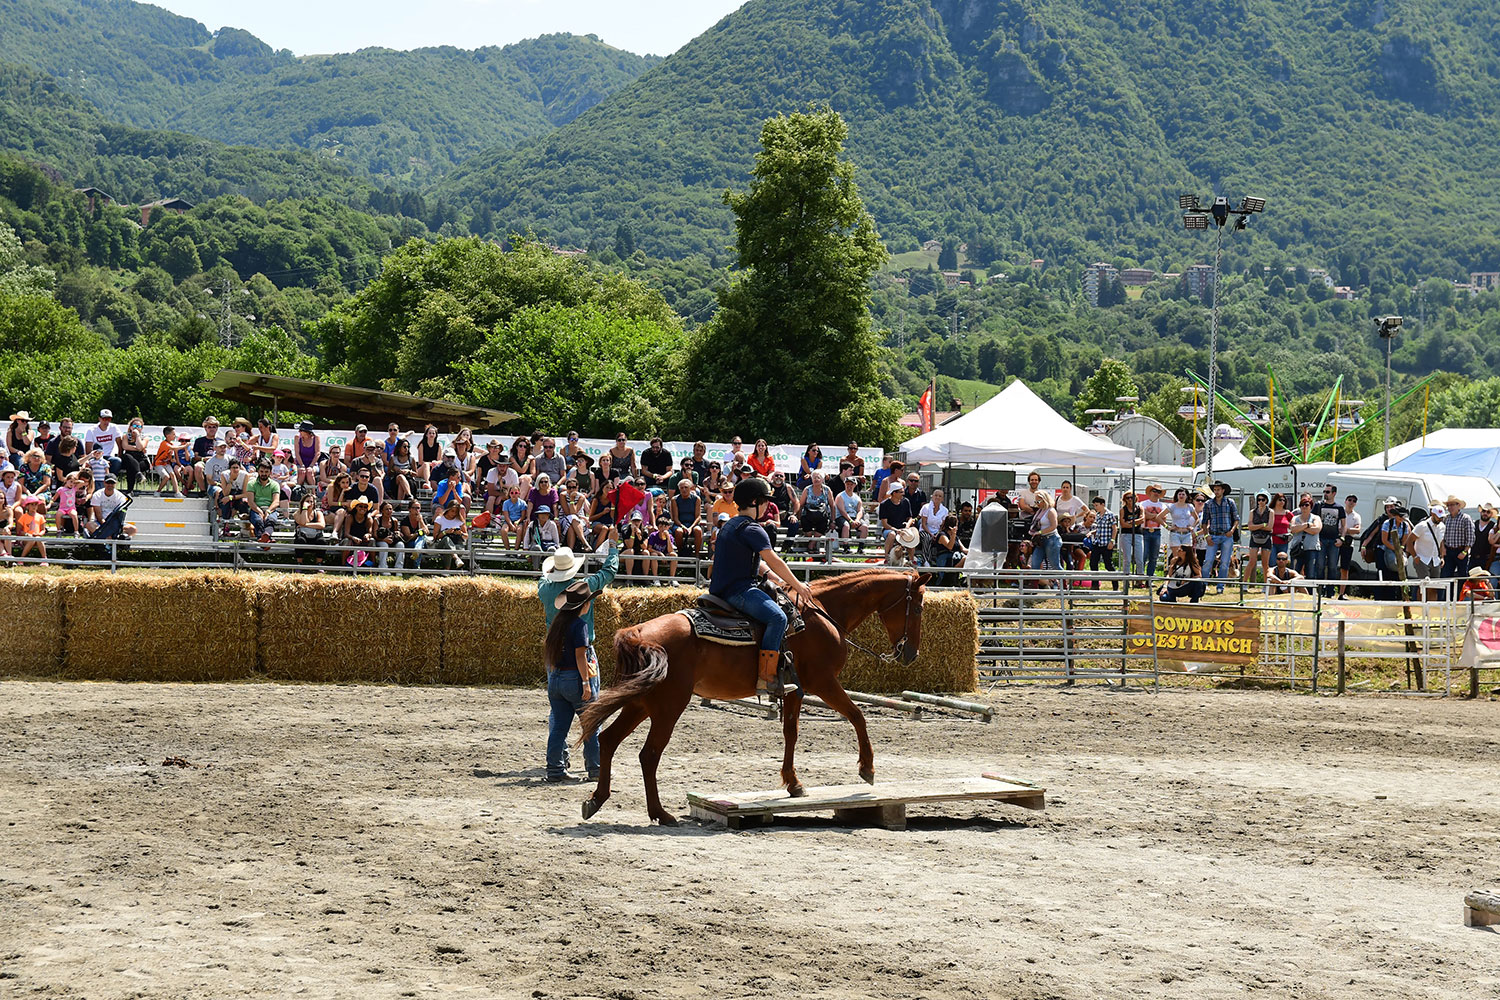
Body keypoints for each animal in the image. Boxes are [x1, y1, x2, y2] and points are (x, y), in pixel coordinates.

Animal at [573, 566, 924, 827]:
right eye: (919, 607)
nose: (910, 654)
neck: (822, 614)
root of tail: (638, 633)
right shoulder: (823, 682)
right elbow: (857, 715)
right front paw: (867, 769)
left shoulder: (796, 689)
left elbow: (791, 731)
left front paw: (793, 783)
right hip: (668, 706)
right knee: (648, 755)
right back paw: (660, 813)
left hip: (639, 702)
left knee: (608, 740)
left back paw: (596, 800)